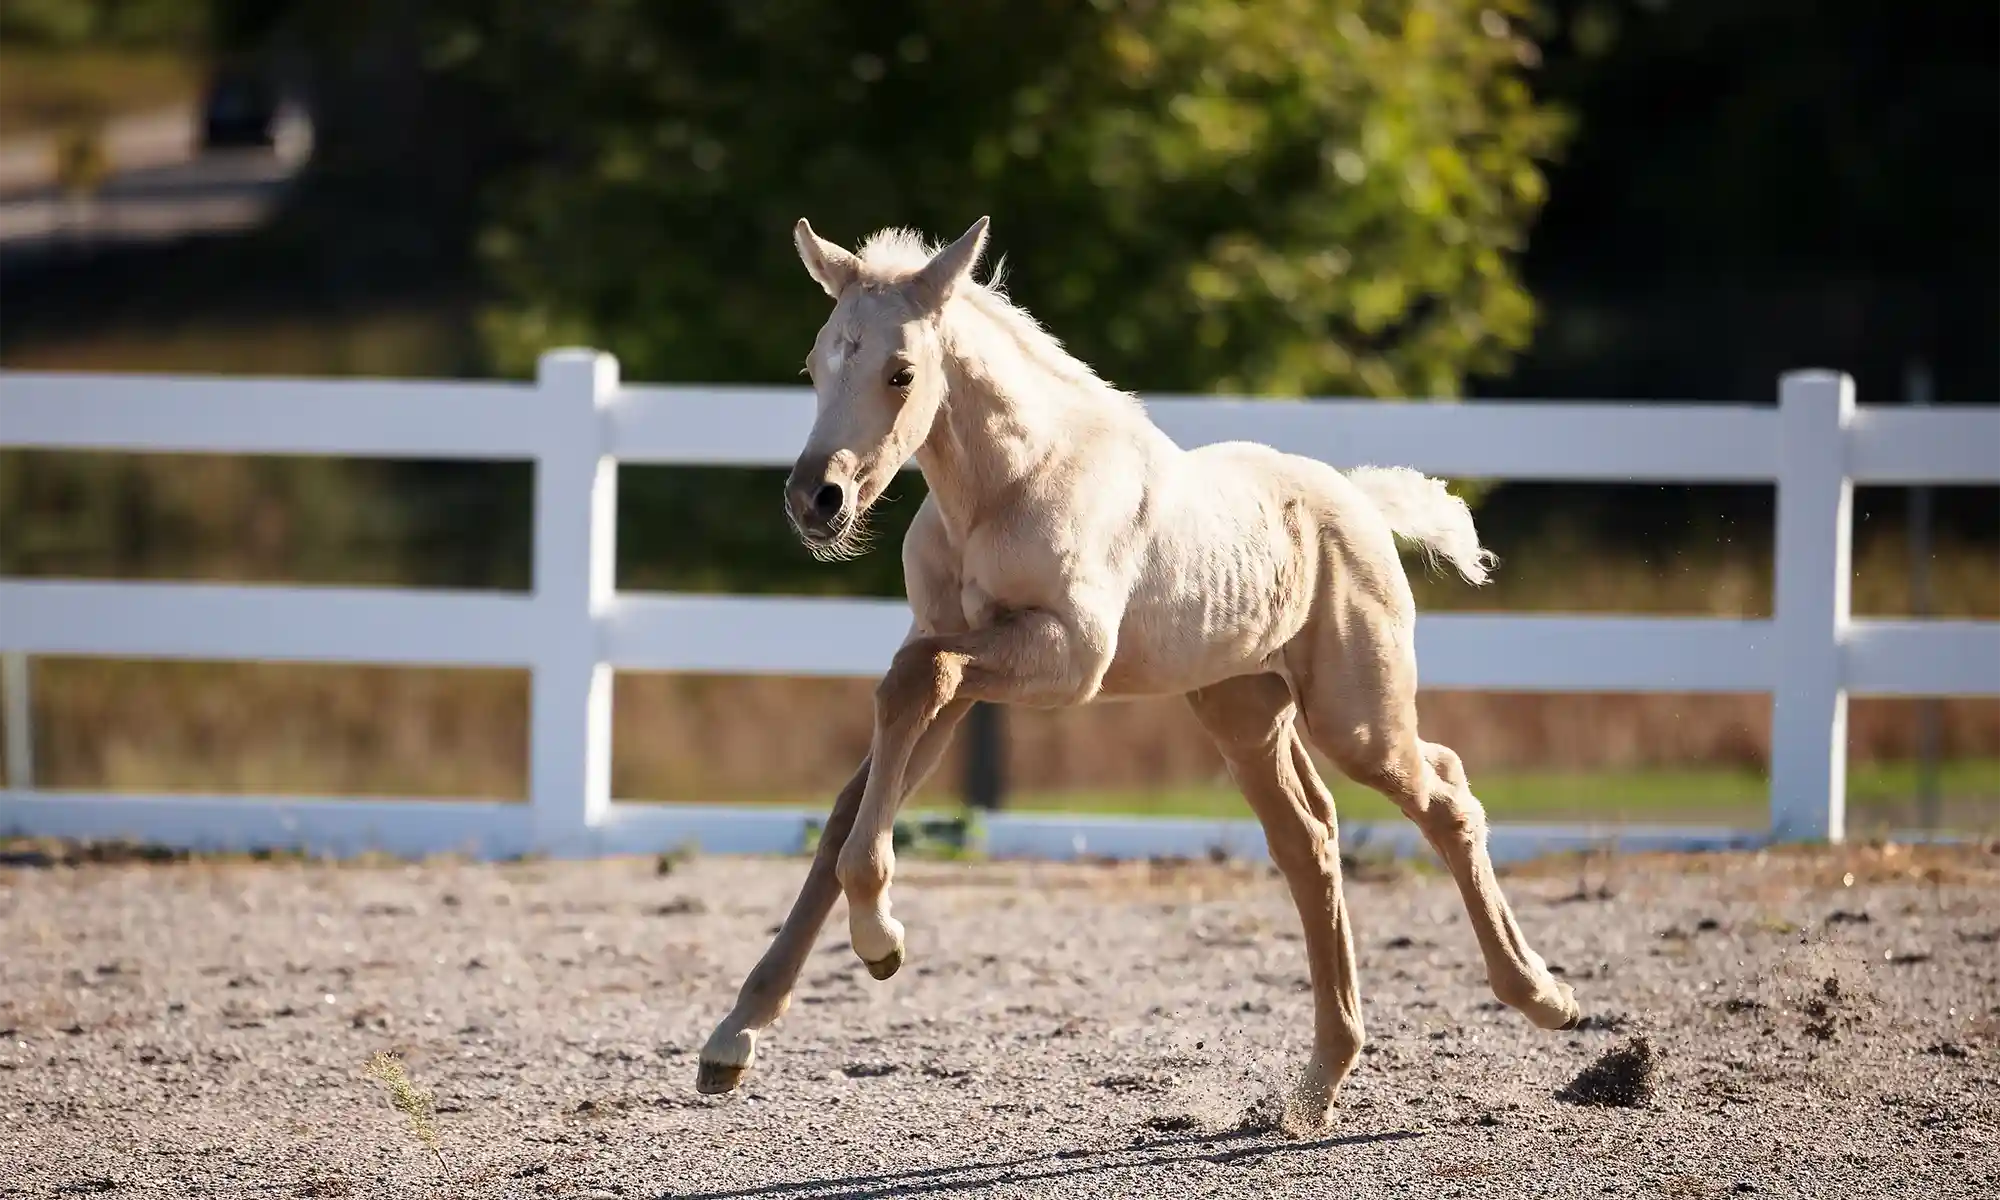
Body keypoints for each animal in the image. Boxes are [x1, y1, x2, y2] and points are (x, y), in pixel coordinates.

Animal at [695, 216, 1581, 1129]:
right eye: (815, 363)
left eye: (900, 372)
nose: (816, 500)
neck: (1009, 488)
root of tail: (1359, 499)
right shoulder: (955, 658)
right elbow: (860, 784)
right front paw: (734, 1036)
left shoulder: (1065, 658)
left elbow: (912, 686)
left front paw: (881, 940)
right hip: (1244, 711)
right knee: (1310, 841)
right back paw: (1318, 1085)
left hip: (1355, 715)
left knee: (1446, 796)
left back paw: (1544, 997)